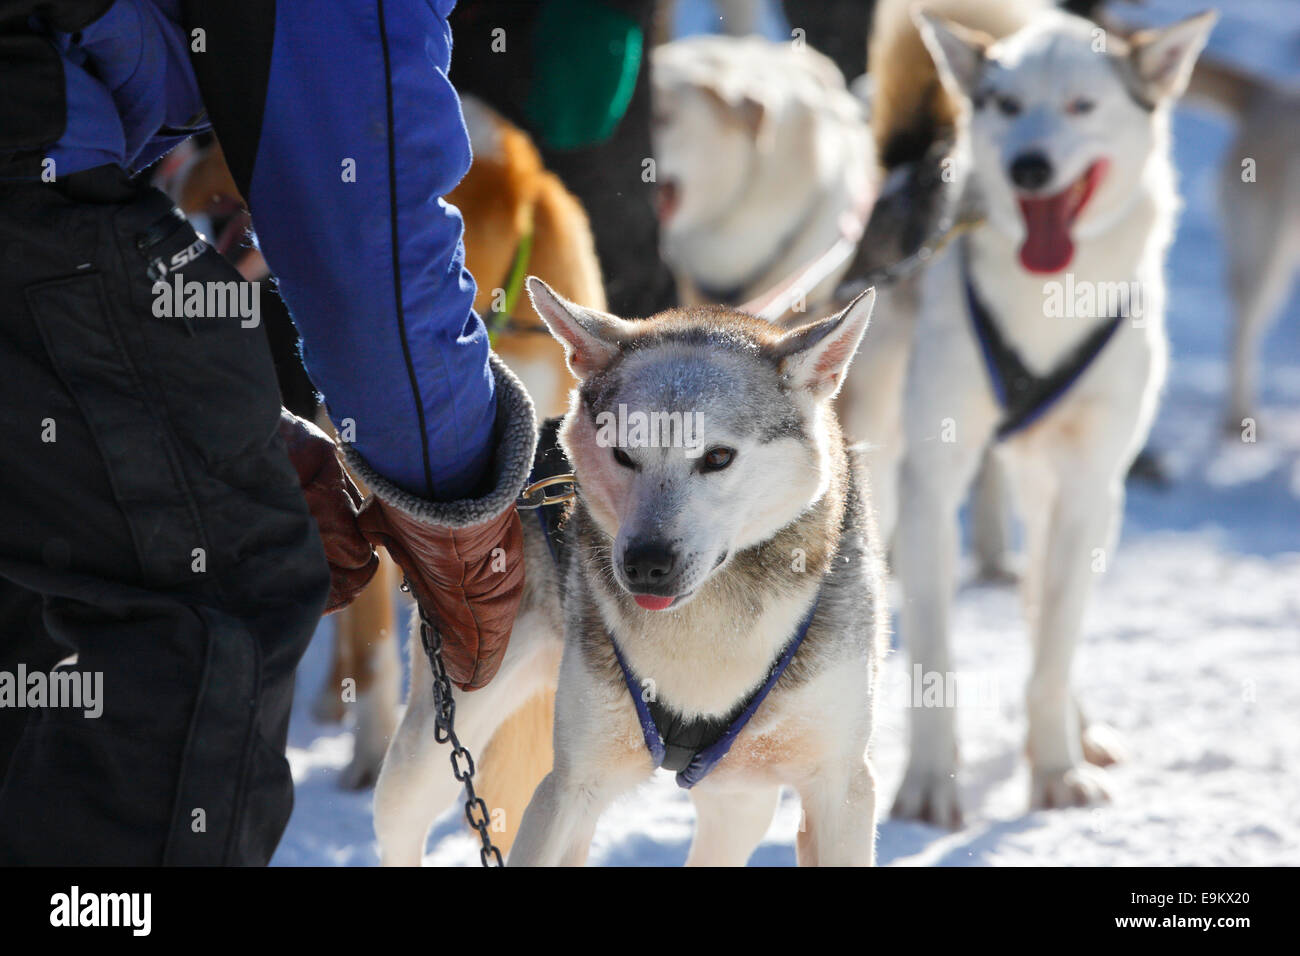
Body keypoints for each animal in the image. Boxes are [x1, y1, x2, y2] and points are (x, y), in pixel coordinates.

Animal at [371, 277, 889, 868]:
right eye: (622, 453)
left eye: (717, 457)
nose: (645, 563)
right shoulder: (569, 787)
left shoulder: (842, 787)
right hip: (429, 753)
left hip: (738, 797)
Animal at [873, 0, 1216, 827]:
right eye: (1006, 105)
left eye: (1080, 107)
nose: (1029, 166)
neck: (1047, 304)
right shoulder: (930, 483)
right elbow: (934, 654)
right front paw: (928, 783)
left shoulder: (1091, 486)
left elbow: (1055, 646)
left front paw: (1057, 767)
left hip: (1063, 493)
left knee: (1044, 611)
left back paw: (1075, 726)